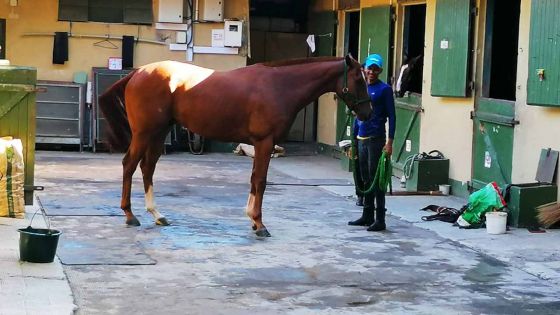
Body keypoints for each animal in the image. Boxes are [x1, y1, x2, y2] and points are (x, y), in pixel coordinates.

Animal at [99, 55, 372, 237]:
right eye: (359, 79)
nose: (367, 113)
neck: (280, 86)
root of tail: (138, 73)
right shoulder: (265, 142)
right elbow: (261, 180)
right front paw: (260, 225)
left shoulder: (260, 145)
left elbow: (253, 179)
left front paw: (252, 219)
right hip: (144, 133)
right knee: (129, 165)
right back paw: (130, 216)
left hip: (158, 133)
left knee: (147, 168)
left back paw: (157, 215)